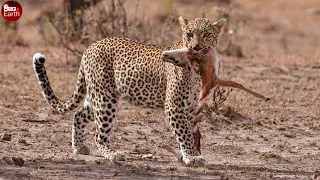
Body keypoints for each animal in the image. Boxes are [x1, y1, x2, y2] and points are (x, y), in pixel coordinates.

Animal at [33, 16, 225, 167]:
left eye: (207, 34)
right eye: (189, 34)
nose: (196, 48)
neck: (198, 70)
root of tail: (90, 47)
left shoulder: (191, 108)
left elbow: (188, 133)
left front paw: (185, 155)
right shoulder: (174, 106)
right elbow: (184, 133)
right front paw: (192, 157)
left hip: (96, 96)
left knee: (78, 114)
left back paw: (79, 147)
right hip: (105, 99)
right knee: (98, 133)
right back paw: (112, 154)